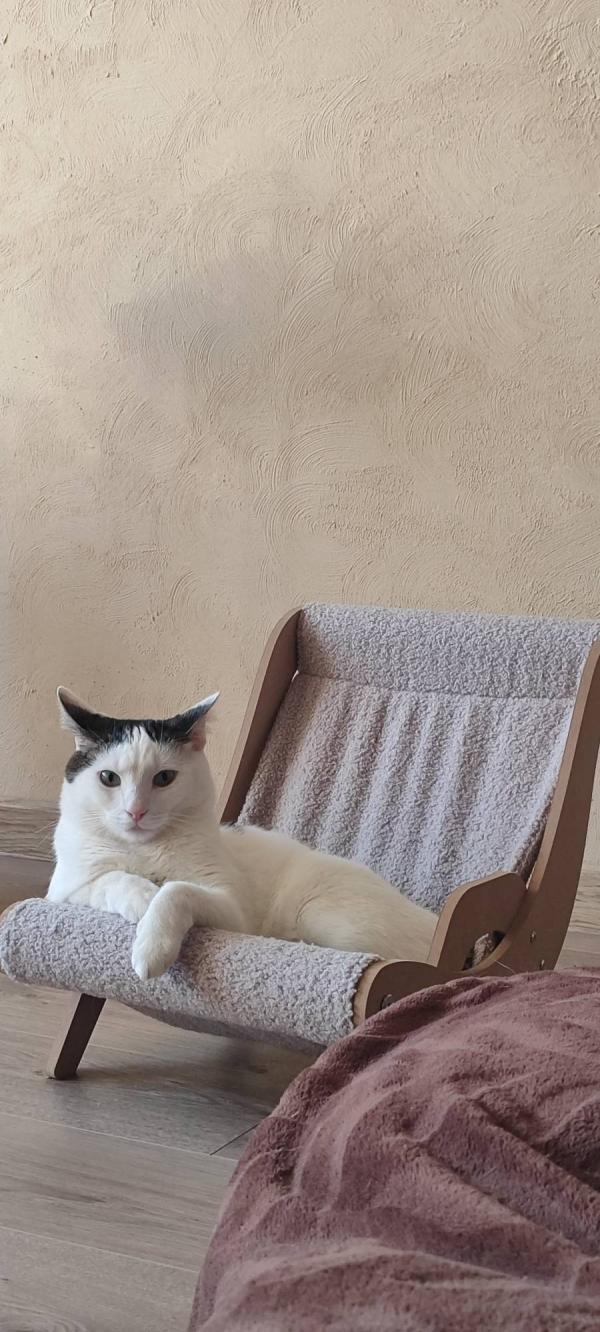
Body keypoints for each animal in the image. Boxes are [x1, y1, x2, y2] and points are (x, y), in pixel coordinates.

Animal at [48, 689, 438, 980]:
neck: (145, 850)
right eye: (108, 778)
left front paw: (151, 947)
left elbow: (175, 890)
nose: (136, 811)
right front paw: (142, 897)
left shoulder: (232, 911)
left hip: (330, 921)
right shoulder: (61, 892)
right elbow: (110, 878)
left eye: (164, 778)